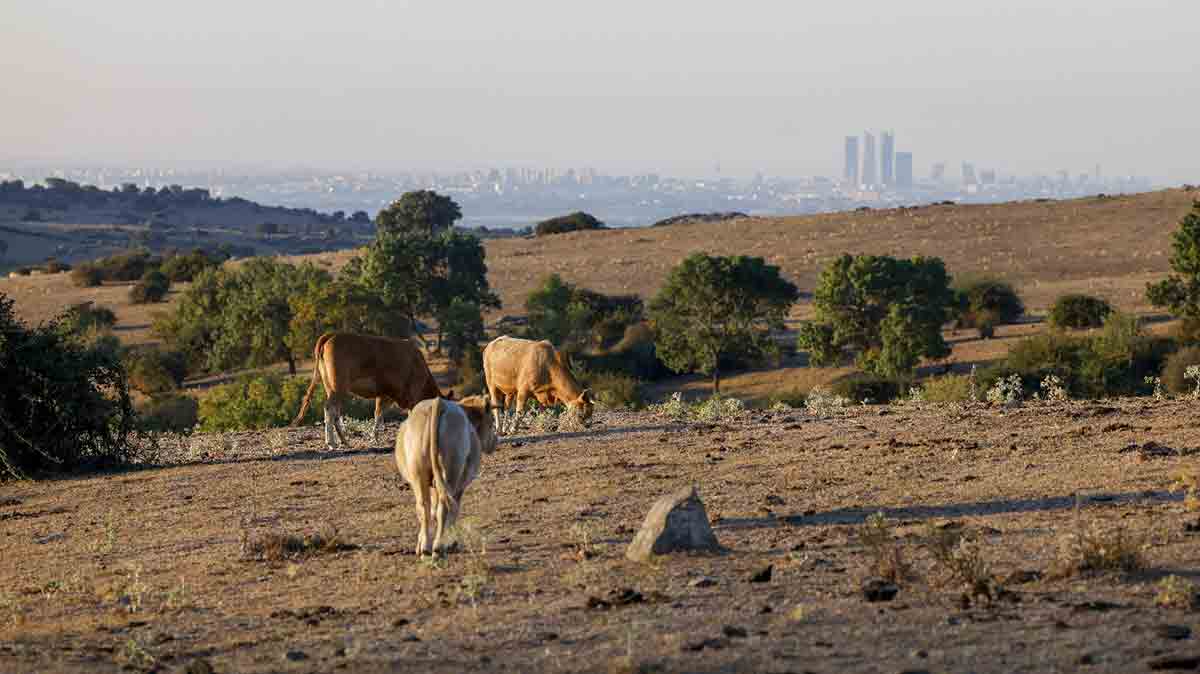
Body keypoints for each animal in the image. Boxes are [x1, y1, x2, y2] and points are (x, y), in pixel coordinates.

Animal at [292, 331, 448, 446]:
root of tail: (332, 334)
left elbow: (378, 413)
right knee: (329, 408)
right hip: (338, 386)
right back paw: (332, 443)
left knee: (335, 411)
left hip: (330, 386)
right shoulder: (412, 394)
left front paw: (375, 437)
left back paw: (344, 441)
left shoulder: (385, 394)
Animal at [393, 390, 496, 554]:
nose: (495, 441)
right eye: (492, 420)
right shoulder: (461, 485)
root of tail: (439, 403)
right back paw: (439, 545)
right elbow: (454, 510)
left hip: (419, 473)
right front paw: (453, 542)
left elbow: (432, 510)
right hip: (451, 473)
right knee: (445, 506)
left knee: (424, 507)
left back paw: (425, 547)